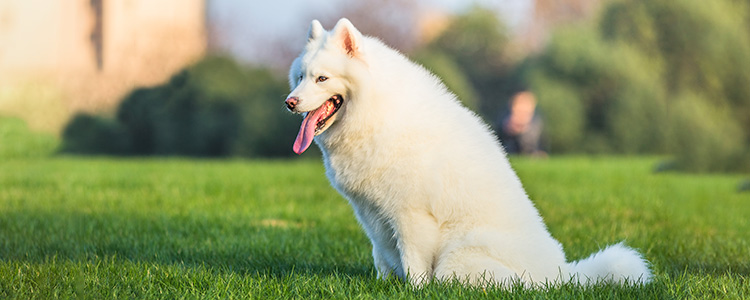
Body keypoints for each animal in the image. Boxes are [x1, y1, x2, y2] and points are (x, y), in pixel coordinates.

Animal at [284, 18, 648, 288]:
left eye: (322, 78)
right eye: (300, 77)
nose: (289, 102)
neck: (375, 111)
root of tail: (562, 276)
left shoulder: (410, 215)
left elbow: (414, 265)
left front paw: (414, 290)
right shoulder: (371, 215)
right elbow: (381, 257)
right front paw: (382, 285)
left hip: (456, 259)